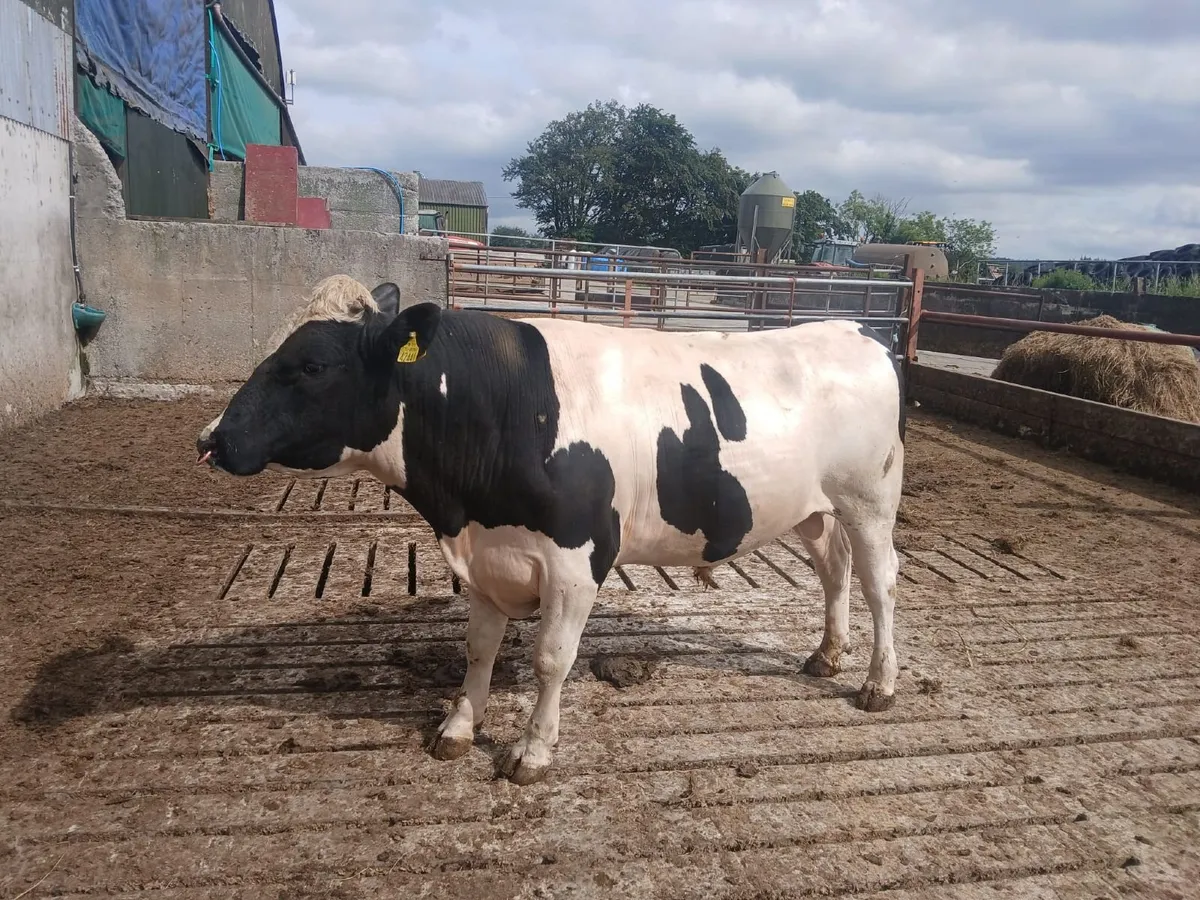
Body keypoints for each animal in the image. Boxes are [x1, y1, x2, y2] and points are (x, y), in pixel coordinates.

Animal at [197, 274, 906, 785]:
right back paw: (826, 654)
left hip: (870, 500)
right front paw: (458, 727)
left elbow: (550, 658)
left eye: (313, 364)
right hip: (812, 508)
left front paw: (532, 751)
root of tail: (857, 329)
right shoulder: (486, 554)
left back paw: (877, 683)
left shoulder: (576, 560)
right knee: (833, 568)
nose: (212, 439)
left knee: (879, 584)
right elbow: (479, 648)